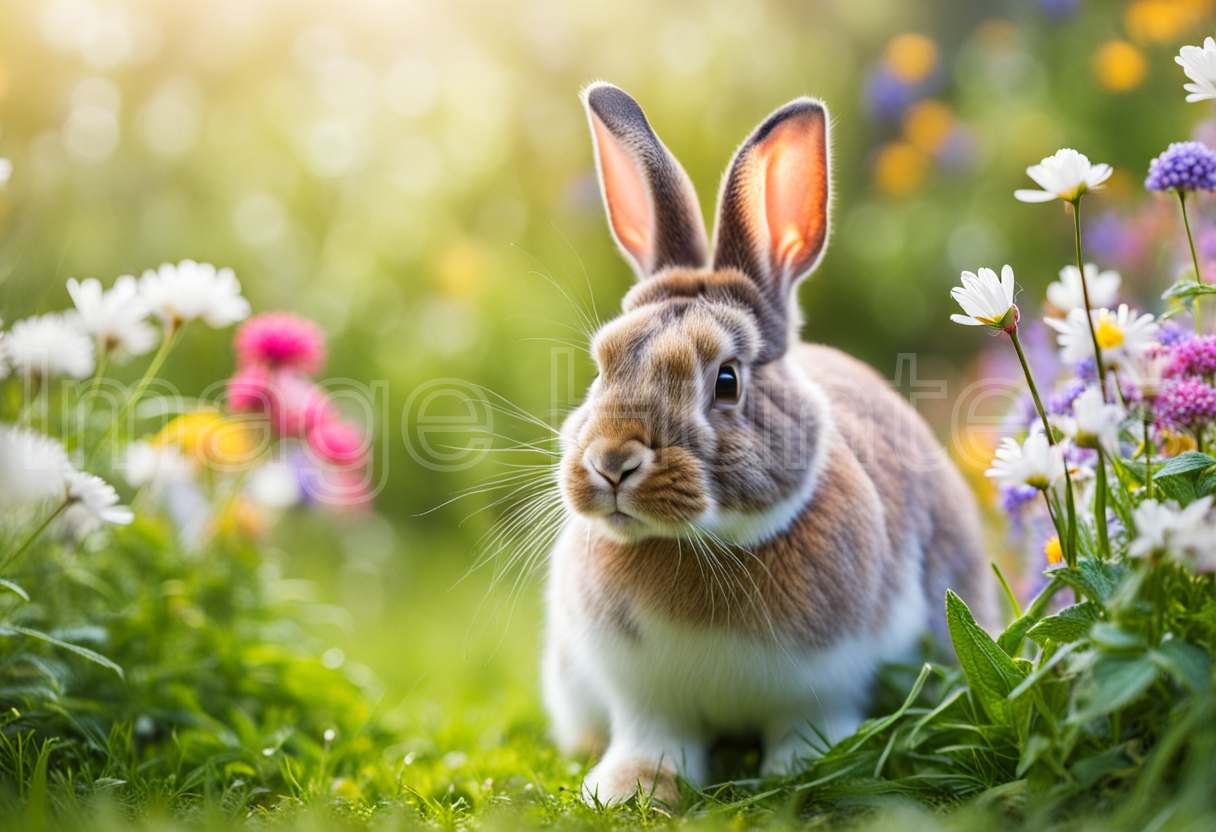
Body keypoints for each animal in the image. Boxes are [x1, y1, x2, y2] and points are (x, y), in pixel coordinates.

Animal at [544, 82, 997, 807]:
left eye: (726, 381)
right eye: (602, 364)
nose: (611, 463)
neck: (702, 544)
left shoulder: (824, 688)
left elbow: (807, 729)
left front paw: (799, 776)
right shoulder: (644, 697)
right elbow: (653, 739)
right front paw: (631, 789)